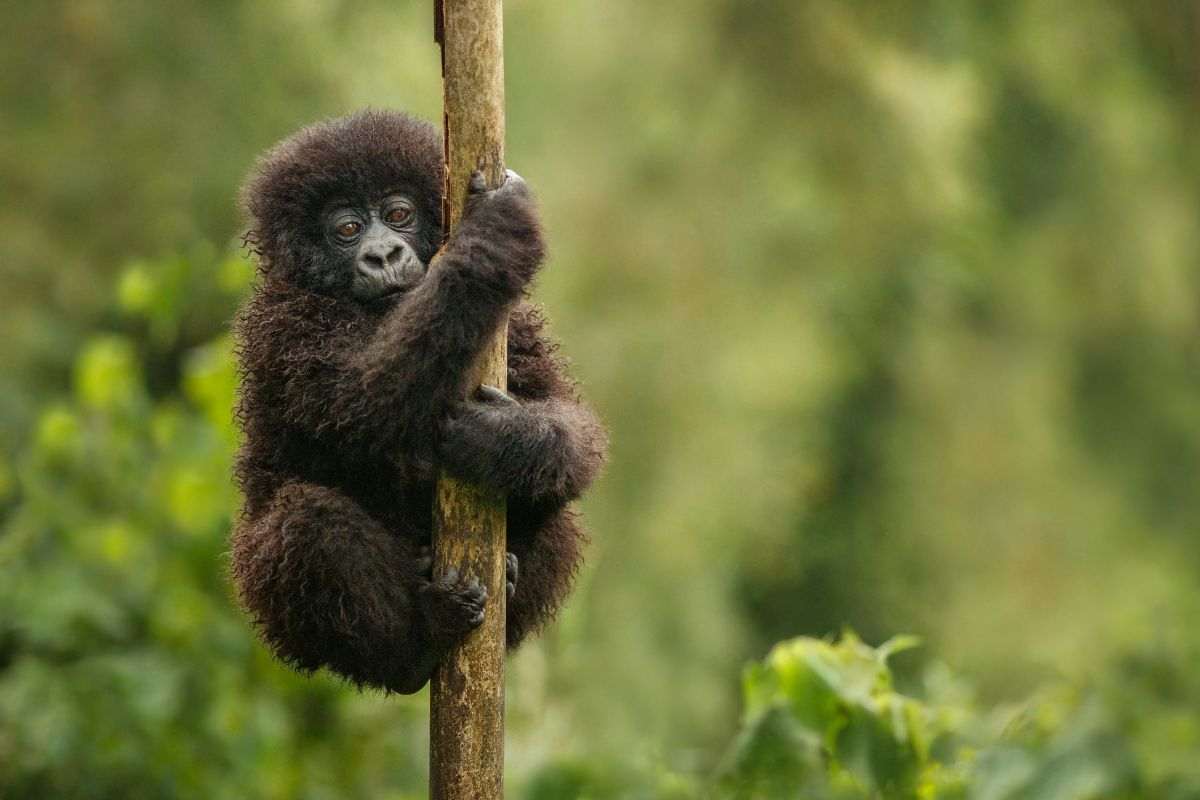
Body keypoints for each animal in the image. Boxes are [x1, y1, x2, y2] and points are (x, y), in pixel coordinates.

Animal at [229, 110, 606, 694]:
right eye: (347, 229)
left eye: (399, 214)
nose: (384, 253)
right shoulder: (284, 327)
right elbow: (366, 403)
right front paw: (492, 237)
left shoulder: (517, 324)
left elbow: (571, 425)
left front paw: (503, 441)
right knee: (306, 521)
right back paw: (415, 646)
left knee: (560, 511)